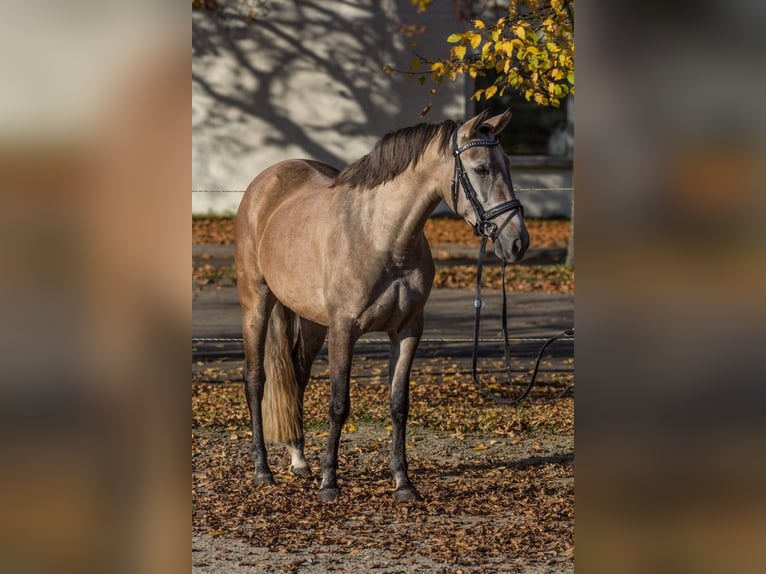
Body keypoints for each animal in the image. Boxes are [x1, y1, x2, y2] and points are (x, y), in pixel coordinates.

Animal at [237, 109, 532, 504]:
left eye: (510, 165)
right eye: (482, 168)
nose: (517, 242)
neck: (383, 237)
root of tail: (266, 181)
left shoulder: (407, 331)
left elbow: (398, 404)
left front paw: (403, 482)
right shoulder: (344, 329)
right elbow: (339, 404)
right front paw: (330, 484)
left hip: (311, 321)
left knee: (297, 375)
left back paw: (299, 459)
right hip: (256, 303)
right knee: (255, 379)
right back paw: (262, 470)